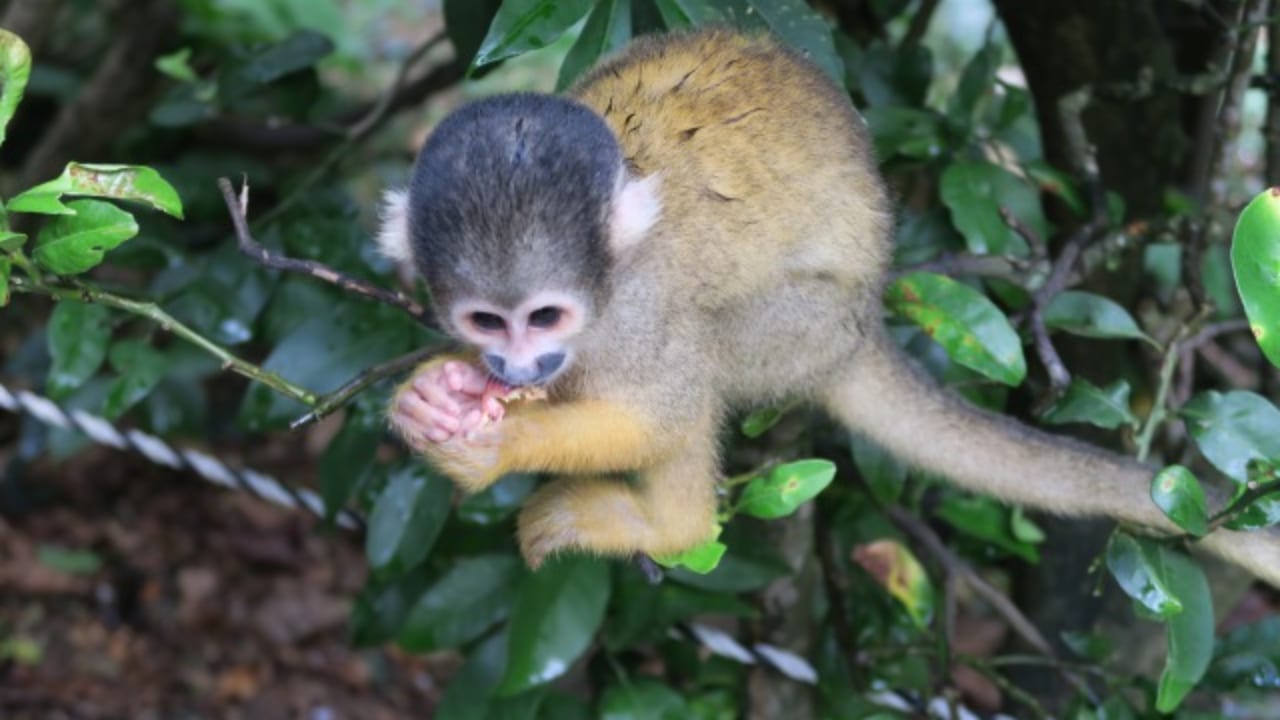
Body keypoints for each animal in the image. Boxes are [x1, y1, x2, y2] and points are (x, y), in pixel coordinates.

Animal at [378, 29, 1280, 584]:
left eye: (546, 317)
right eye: (486, 322)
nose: (519, 363)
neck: (605, 286)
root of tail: (864, 325)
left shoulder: (641, 308)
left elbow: (661, 412)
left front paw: (498, 445)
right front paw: (435, 394)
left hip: (800, 336)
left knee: (709, 360)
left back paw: (669, 528)